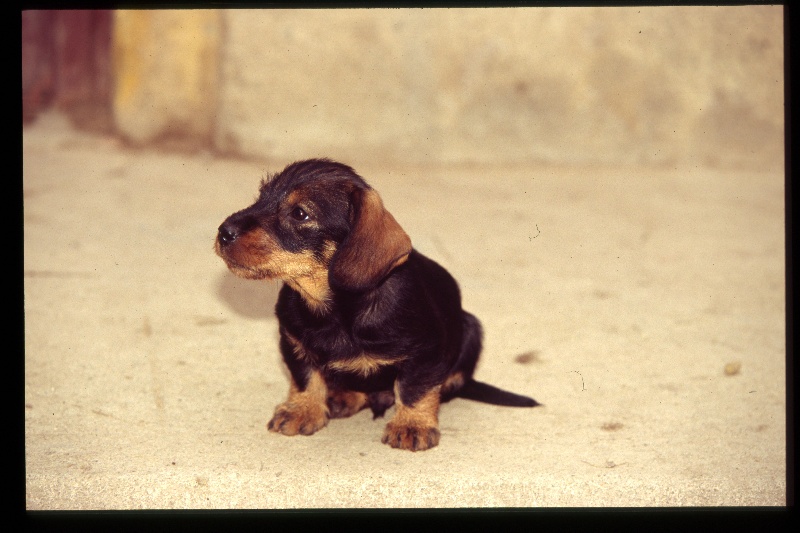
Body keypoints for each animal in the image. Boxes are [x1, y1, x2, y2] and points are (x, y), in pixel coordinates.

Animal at [216, 158, 536, 448]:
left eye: (299, 213)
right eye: (261, 196)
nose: (223, 232)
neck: (336, 310)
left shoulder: (426, 353)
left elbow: (413, 389)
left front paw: (413, 425)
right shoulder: (293, 343)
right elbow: (305, 378)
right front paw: (302, 409)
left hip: (471, 329)